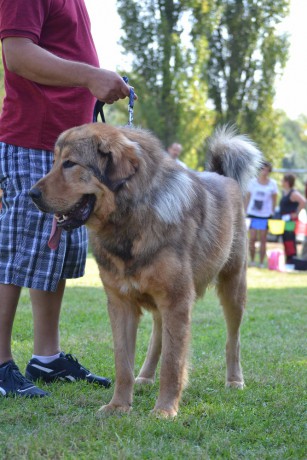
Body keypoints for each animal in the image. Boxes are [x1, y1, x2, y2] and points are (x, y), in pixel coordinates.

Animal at [29, 122, 262, 416]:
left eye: (70, 164)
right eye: (54, 162)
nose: (31, 194)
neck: (131, 220)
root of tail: (221, 175)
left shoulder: (176, 301)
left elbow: (173, 363)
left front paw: (165, 410)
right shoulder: (121, 304)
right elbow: (123, 364)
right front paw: (118, 405)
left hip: (233, 289)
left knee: (233, 340)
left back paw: (234, 380)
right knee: (157, 338)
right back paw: (145, 376)